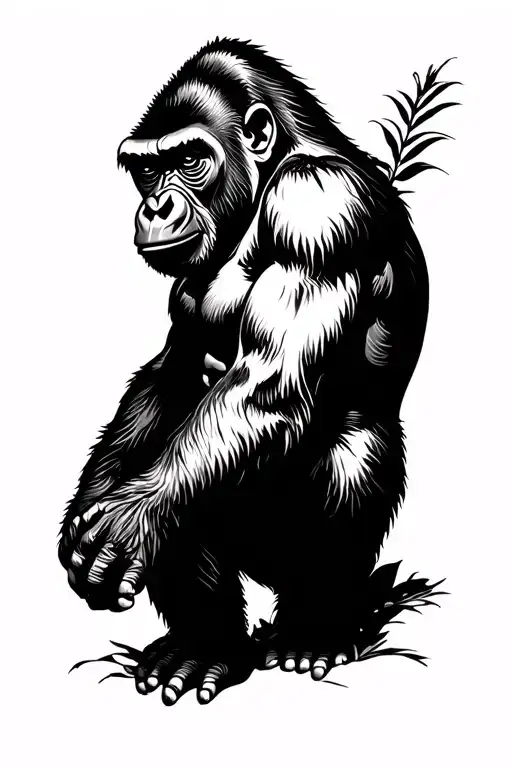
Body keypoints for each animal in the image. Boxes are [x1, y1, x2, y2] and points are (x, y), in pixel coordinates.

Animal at [58, 38, 428, 705]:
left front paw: (130, 516)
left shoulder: (317, 207)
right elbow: (170, 371)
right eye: (147, 169)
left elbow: (268, 384)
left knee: (354, 446)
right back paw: (208, 647)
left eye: (190, 158)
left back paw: (316, 628)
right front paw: (93, 503)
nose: (155, 204)